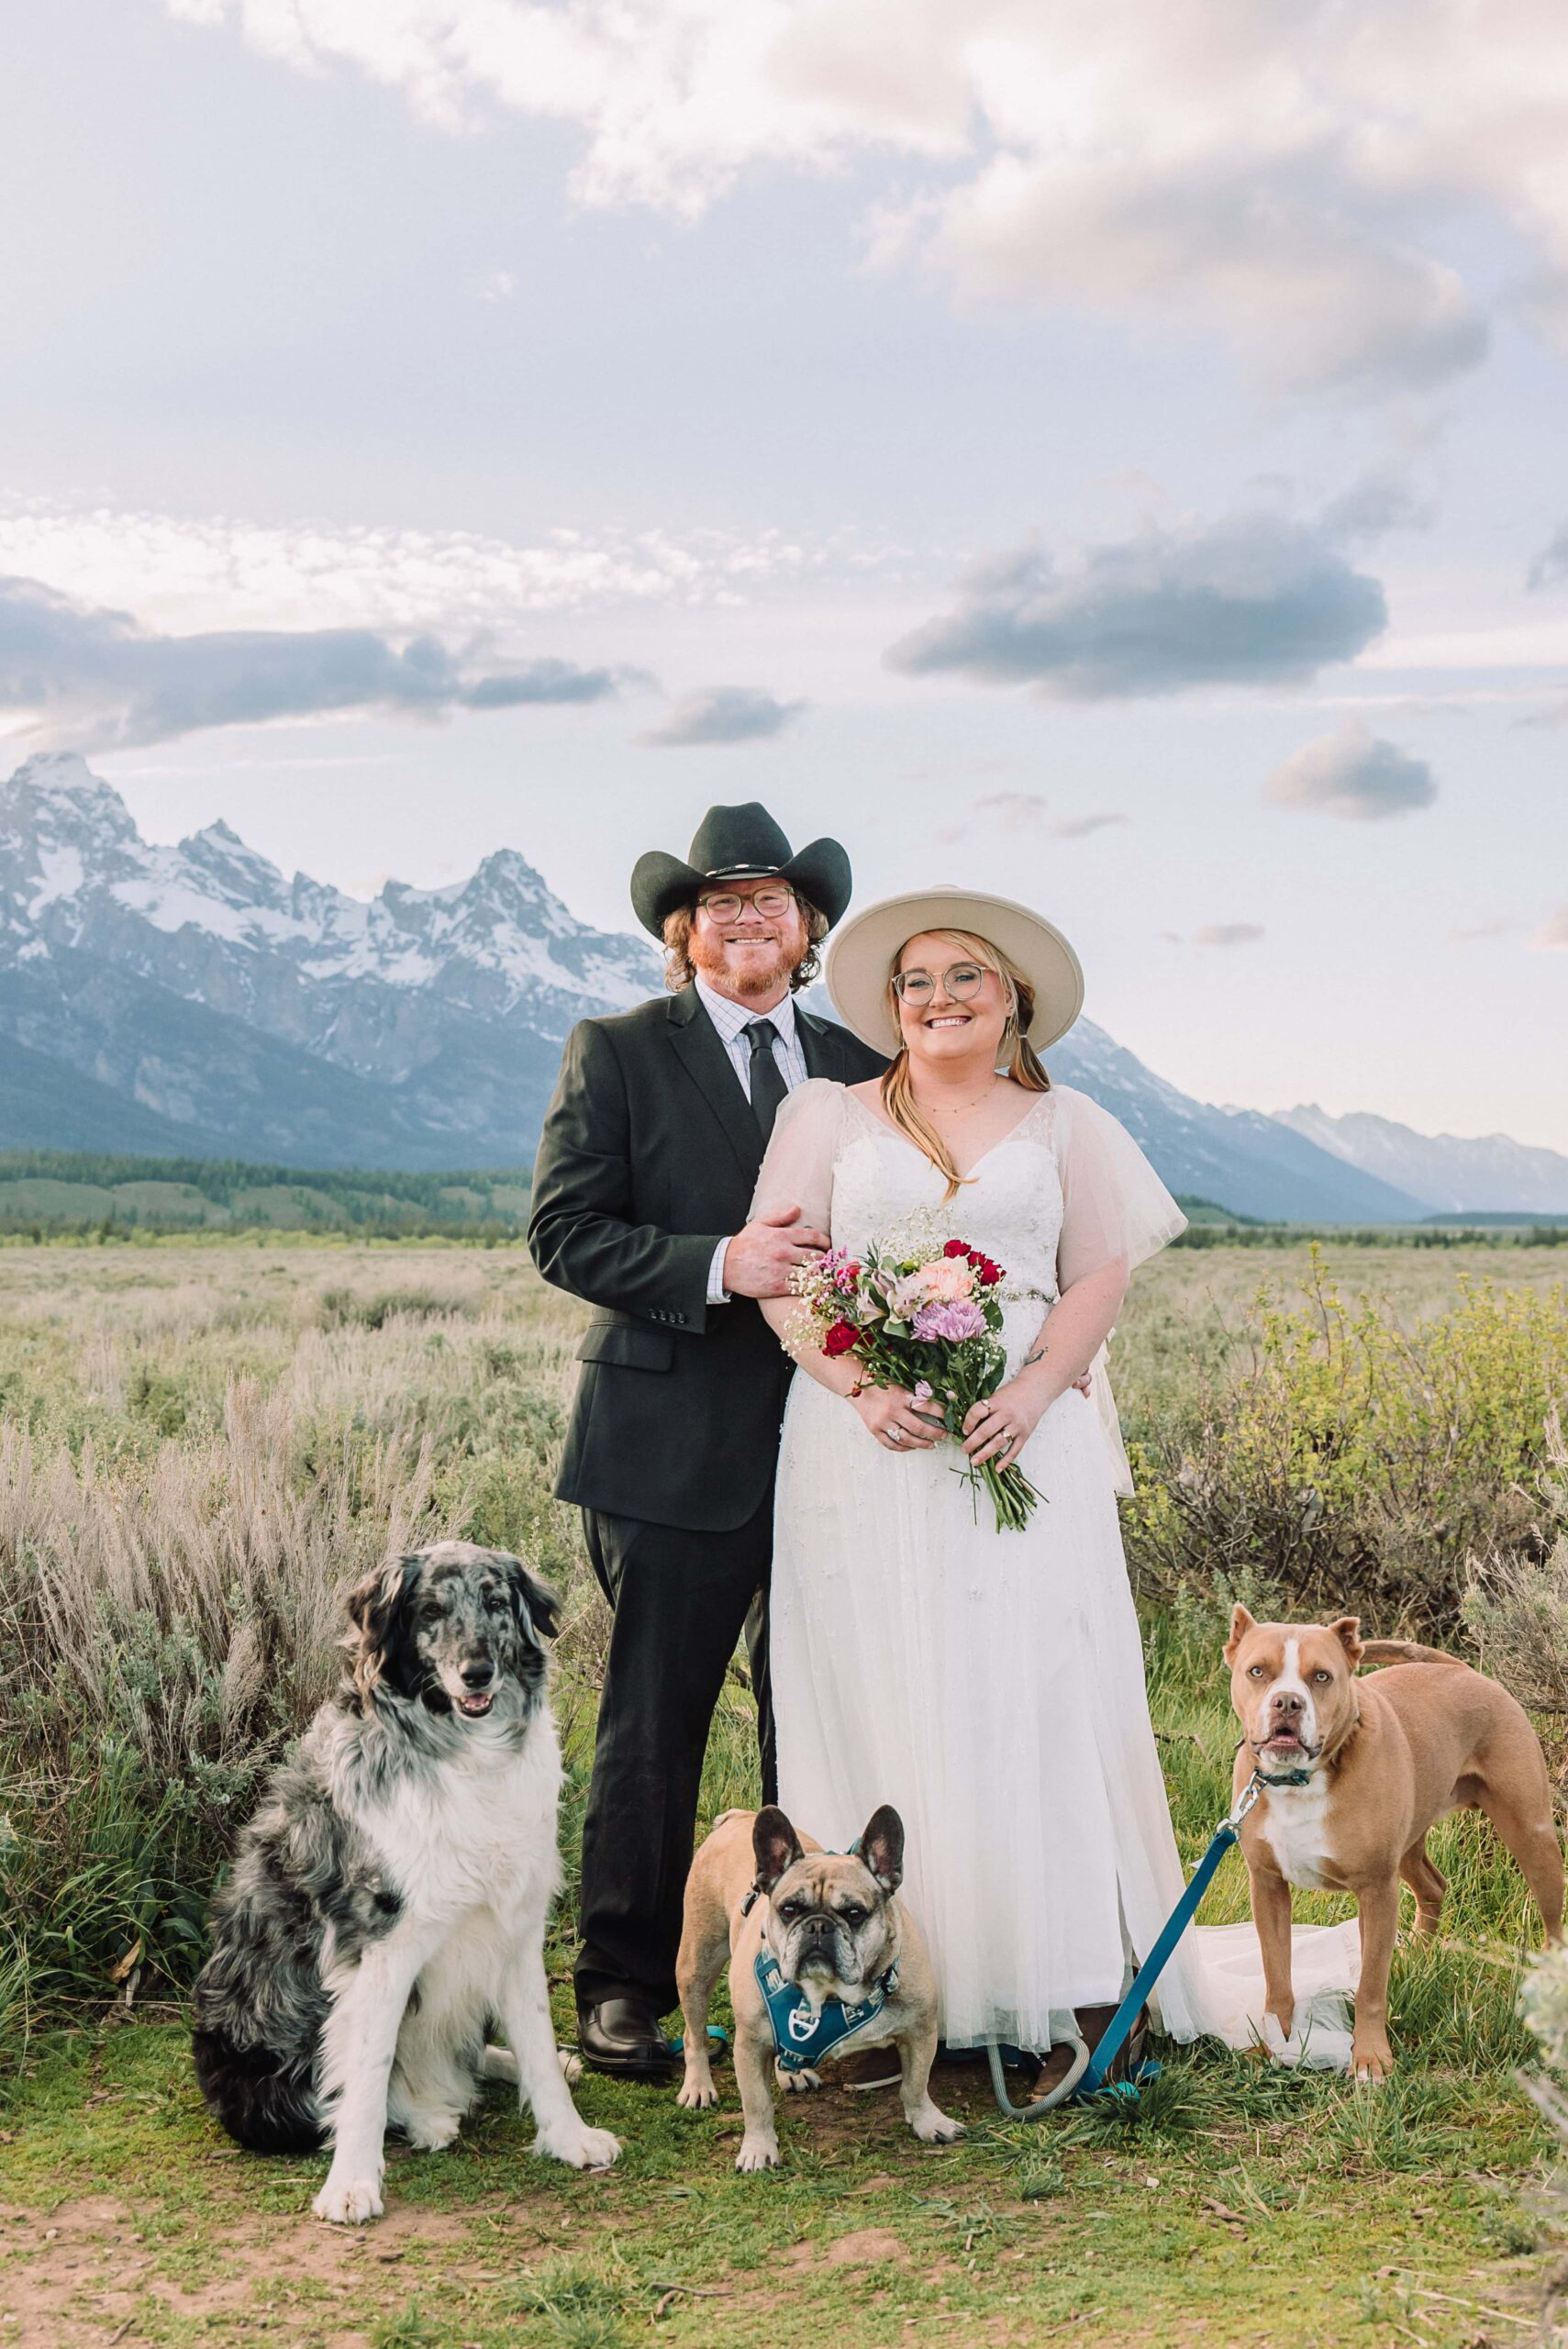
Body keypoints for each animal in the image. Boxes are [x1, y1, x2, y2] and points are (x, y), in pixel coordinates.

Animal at [1229, 1607, 1558, 2086]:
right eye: (1257, 1671)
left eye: (1321, 1676)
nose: (1287, 1702)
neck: (1300, 1780)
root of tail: (1466, 1671)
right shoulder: (1267, 1886)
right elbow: (1277, 1976)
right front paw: (1273, 2043)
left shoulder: (1376, 1890)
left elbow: (1370, 1987)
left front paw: (1370, 2058)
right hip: (1410, 1844)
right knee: (1433, 1887)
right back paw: (1416, 1954)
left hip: (1531, 1835)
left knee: (1552, 1918)